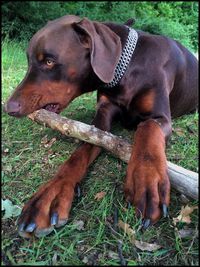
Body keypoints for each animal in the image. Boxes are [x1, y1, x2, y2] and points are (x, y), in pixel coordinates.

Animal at [3, 15, 198, 239]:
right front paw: (53, 191)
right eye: (28, 61)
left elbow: (148, 127)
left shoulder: (161, 117)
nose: (8, 107)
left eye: (49, 61)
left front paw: (147, 180)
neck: (127, 69)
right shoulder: (102, 118)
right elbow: (81, 150)